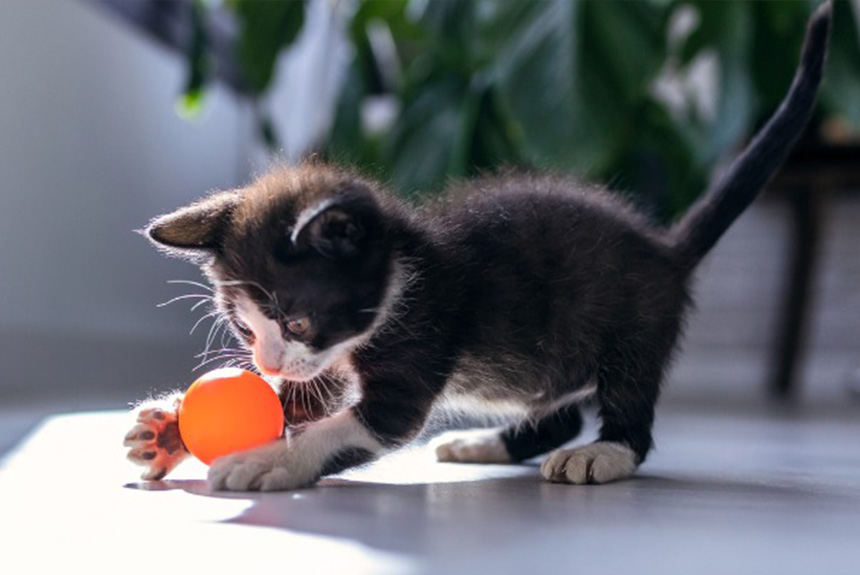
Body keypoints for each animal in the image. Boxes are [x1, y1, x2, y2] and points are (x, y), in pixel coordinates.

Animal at [124, 4, 828, 490]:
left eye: (296, 320)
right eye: (245, 331)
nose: (264, 364)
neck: (404, 273)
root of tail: (665, 248)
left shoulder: (418, 338)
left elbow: (355, 423)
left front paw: (272, 459)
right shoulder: (327, 360)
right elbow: (306, 397)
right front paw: (168, 432)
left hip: (636, 322)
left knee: (629, 401)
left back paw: (604, 452)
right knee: (559, 408)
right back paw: (487, 443)